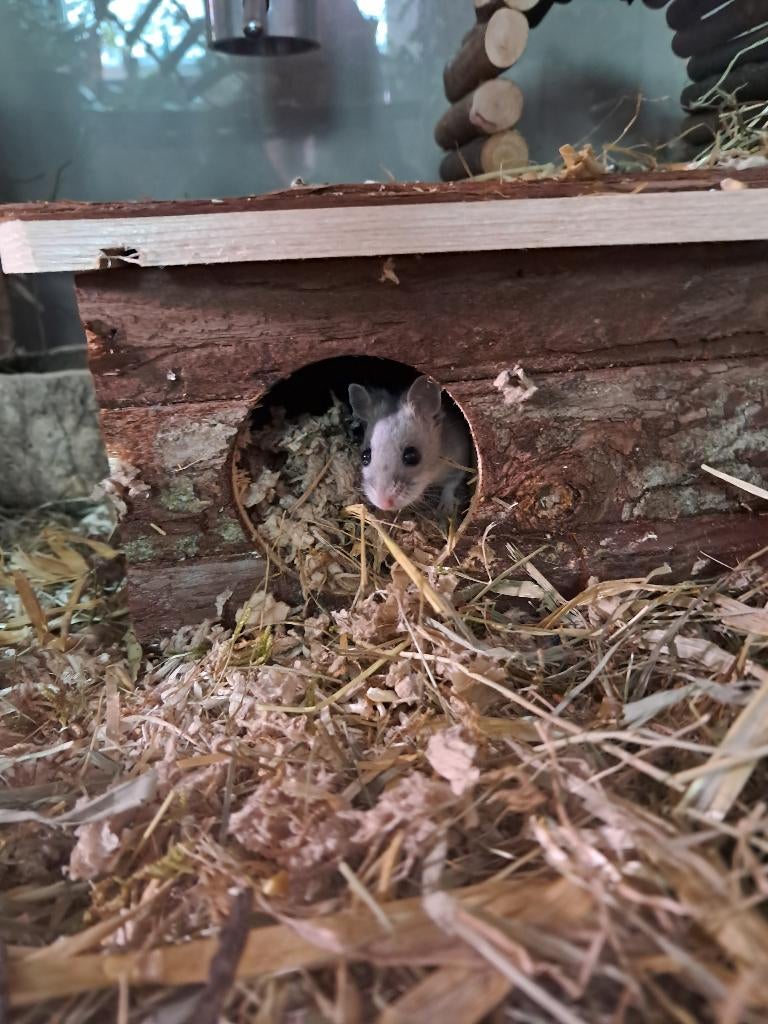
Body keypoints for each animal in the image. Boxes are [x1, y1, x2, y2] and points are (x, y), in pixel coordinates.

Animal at [348, 375, 471, 515]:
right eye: (364, 456)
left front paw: (446, 508)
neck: (432, 472)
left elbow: (450, 485)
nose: (383, 504)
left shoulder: (459, 459)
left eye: (412, 456)